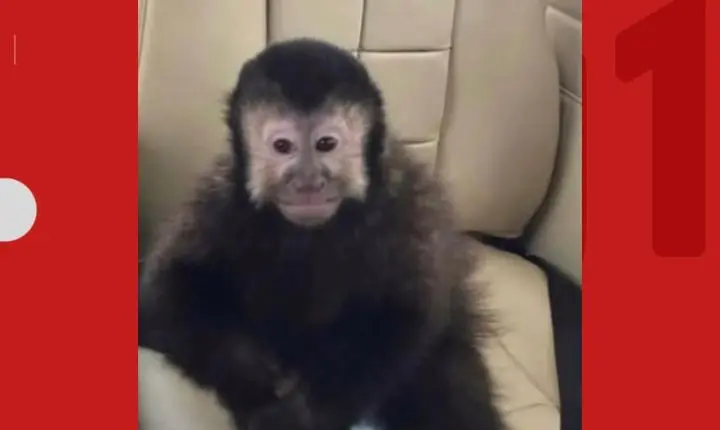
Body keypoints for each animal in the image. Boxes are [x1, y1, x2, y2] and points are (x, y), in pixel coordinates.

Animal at [139, 38, 505, 430]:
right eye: (283, 147)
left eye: (326, 144)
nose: (308, 182)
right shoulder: (218, 201)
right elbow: (166, 292)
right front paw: (258, 389)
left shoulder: (407, 202)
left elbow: (408, 313)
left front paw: (304, 413)